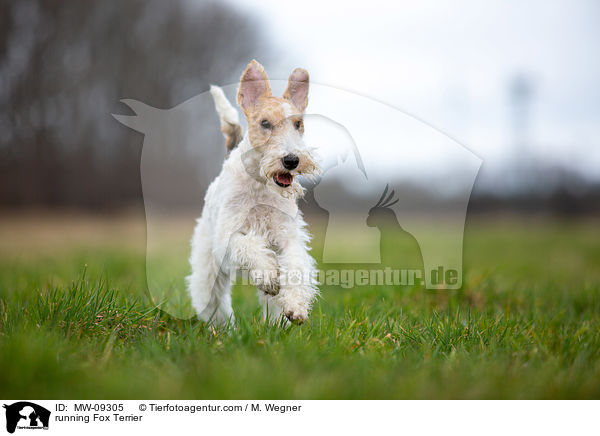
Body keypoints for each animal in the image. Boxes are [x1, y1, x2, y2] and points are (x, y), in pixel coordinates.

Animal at [188, 59, 322, 326]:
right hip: (208, 260)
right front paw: (268, 276)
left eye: (298, 124)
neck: (260, 185)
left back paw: (276, 324)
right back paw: (221, 327)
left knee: (273, 304)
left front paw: (296, 307)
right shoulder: (227, 235)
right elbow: (248, 246)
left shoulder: (288, 237)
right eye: (265, 123)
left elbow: (296, 267)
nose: (291, 160)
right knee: (212, 298)